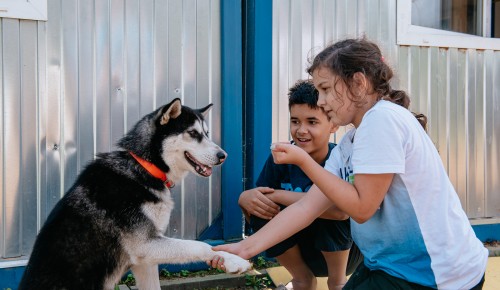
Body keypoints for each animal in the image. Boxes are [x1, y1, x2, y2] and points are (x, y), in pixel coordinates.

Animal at [17, 98, 252, 288]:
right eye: (193, 133)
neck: (144, 168)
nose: (223, 155)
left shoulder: (145, 260)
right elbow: (200, 245)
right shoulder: (145, 245)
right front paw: (232, 260)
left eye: (207, 134)